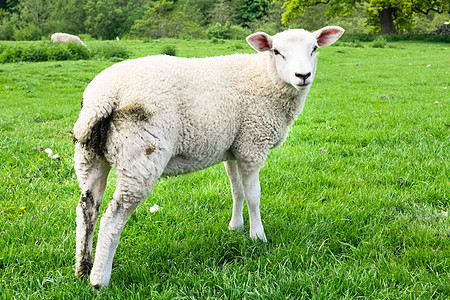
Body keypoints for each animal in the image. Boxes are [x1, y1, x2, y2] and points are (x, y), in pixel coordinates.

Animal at [74, 24, 344, 288]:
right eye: (276, 51)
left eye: (314, 48)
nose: (303, 76)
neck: (265, 78)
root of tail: (103, 98)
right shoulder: (252, 145)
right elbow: (253, 195)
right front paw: (258, 237)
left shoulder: (234, 148)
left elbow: (237, 190)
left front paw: (236, 228)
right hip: (141, 157)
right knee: (112, 216)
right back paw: (99, 279)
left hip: (90, 156)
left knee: (87, 208)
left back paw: (83, 268)